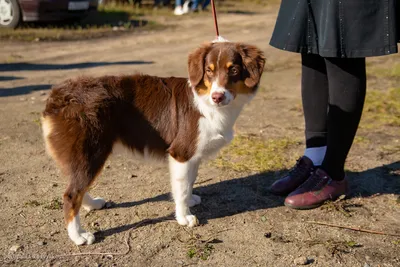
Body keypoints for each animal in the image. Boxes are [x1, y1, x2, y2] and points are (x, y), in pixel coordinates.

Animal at [41, 40, 266, 246]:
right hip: (91, 152)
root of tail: (57, 96)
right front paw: (184, 217)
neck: (207, 103)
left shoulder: (193, 154)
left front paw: (190, 201)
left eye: (234, 69)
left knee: (77, 187)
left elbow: (189, 182)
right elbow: (182, 188)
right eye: (209, 71)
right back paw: (78, 236)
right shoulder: (181, 152)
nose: (217, 97)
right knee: (71, 194)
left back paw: (92, 204)